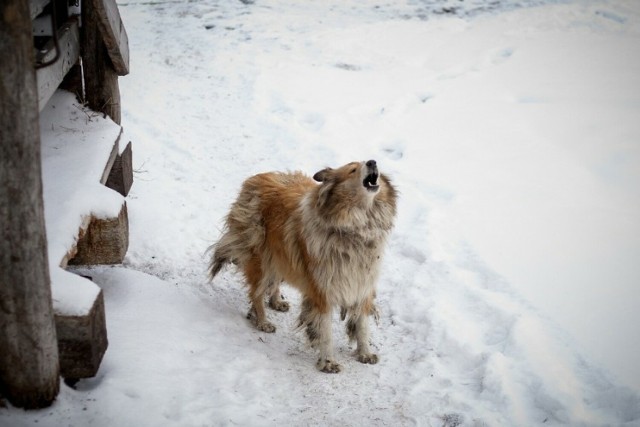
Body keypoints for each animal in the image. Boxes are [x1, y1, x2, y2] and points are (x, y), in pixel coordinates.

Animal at [208, 159, 398, 372]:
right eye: (352, 170)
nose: (373, 162)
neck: (356, 229)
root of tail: (256, 178)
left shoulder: (362, 285)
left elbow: (362, 325)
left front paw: (365, 353)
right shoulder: (322, 291)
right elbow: (326, 332)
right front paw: (328, 362)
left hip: (280, 256)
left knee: (273, 282)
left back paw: (276, 302)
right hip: (261, 260)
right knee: (256, 293)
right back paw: (263, 321)